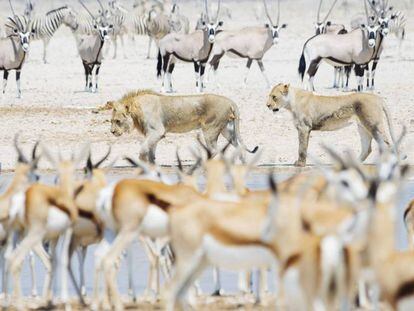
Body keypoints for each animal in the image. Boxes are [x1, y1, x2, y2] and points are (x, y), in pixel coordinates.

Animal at [102, 89, 258, 163]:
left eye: (117, 121)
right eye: (111, 121)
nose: (112, 132)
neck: (136, 109)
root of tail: (230, 101)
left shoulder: (157, 132)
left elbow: (142, 151)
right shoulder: (154, 135)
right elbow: (151, 154)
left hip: (210, 130)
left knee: (215, 151)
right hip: (228, 130)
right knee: (238, 147)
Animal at [266, 84, 396, 168]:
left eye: (274, 97)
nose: (267, 105)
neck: (291, 102)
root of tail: (378, 98)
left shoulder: (304, 128)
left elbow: (302, 148)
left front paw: (300, 164)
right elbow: (304, 147)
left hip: (373, 125)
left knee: (386, 144)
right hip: (362, 127)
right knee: (367, 148)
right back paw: (353, 163)